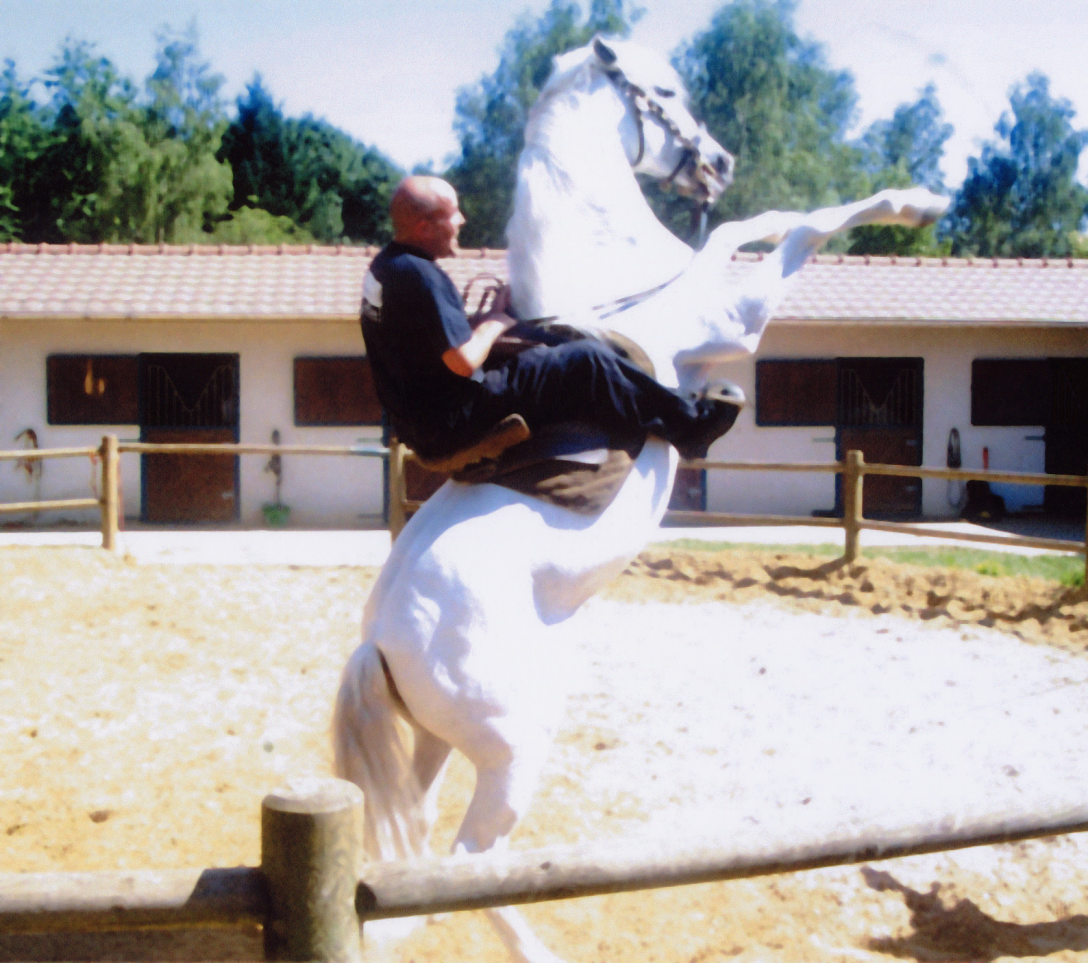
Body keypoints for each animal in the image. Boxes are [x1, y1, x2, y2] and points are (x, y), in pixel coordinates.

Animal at [334, 36, 949, 963]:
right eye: (666, 92)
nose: (719, 161)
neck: (607, 286)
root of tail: (378, 638)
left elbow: (748, 225)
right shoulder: (738, 318)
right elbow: (792, 227)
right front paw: (917, 203)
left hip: (436, 745)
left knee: (411, 864)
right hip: (512, 751)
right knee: (473, 861)